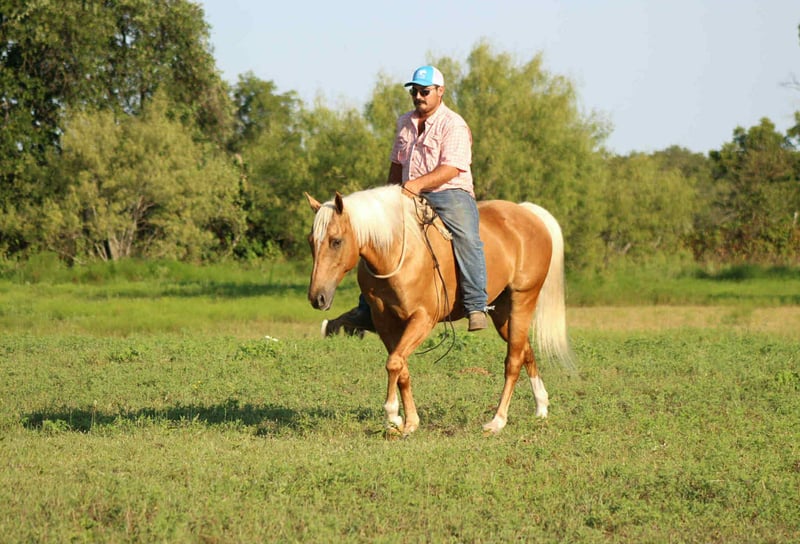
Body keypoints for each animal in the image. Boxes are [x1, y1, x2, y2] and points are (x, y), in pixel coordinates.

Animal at [305, 185, 573, 435]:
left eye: (336, 241)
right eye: (311, 242)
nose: (317, 298)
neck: (397, 253)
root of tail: (528, 213)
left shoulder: (423, 318)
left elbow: (394, 363)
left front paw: (392, 415)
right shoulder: (385, 322)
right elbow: (400, 366)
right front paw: (408, 421)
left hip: (523, 299)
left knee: (513, 360)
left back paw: (497, 421)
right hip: (502, 312)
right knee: (525, 349)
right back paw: (541, 407)